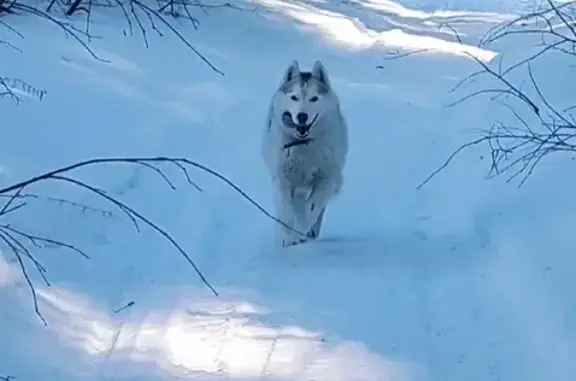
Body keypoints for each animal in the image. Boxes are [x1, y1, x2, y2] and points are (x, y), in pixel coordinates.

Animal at [260, 60, 346, 246]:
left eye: (314, 98)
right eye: (294, 97)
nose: (302, 116)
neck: (303, 145)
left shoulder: (326, 179)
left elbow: (313, 208)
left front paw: (301, 230)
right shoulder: (282, 178)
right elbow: (286, 209)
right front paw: (287, 236)